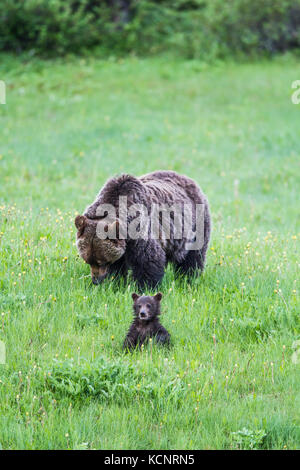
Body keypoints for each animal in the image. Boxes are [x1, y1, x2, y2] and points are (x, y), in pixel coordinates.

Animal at [75, 171, 211, 288]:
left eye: (102, 261)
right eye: (88, 261)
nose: (96, 280)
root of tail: (188, 179)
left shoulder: (140, 230)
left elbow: (148, 260)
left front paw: (144, 287)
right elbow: (118, 266)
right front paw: (116, 283)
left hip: (195, 225)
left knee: (193, 257)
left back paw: (187, 279)